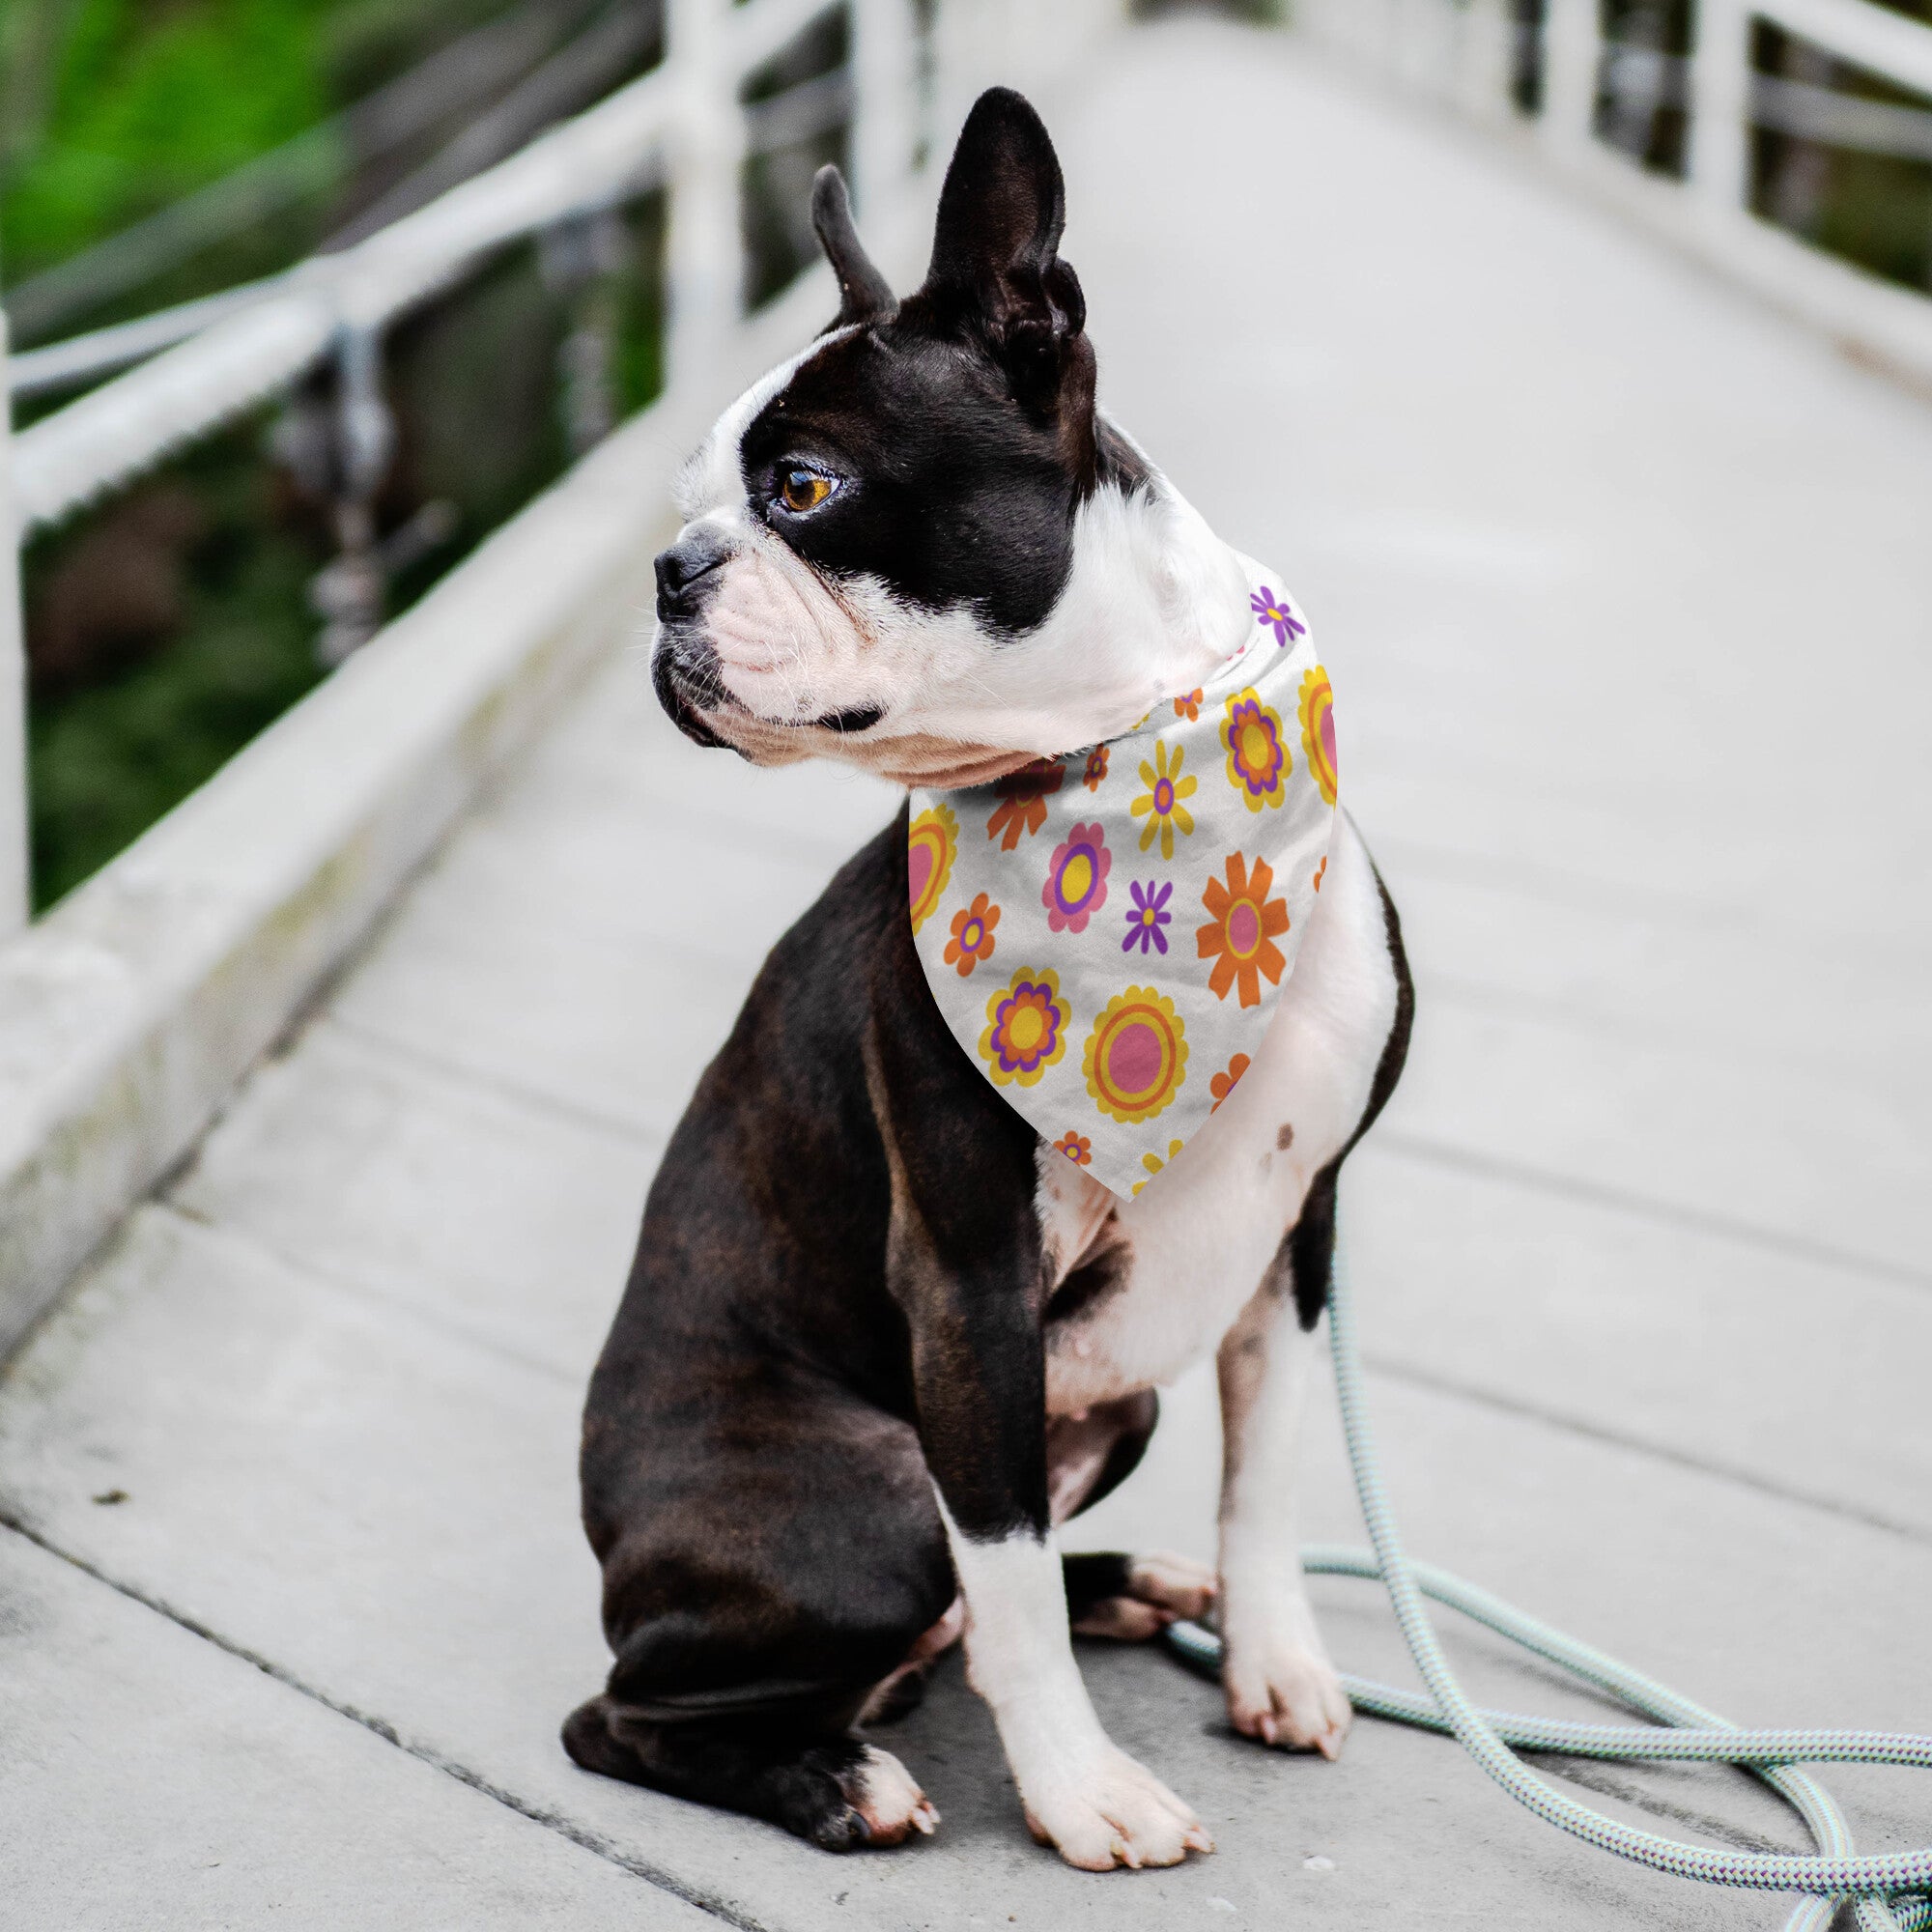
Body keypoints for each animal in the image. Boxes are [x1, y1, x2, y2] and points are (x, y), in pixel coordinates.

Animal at [564, 87, 1414, 1870]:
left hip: (1114, 1408)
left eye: (801, 487)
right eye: (698, 499)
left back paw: (1135, 1587)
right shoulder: (968, 1282)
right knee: (641, 1709)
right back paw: (837, 1777)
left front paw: (1274, 1658)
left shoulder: (1297, 1241)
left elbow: (1267, 1479)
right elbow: (1005, 1572)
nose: (670, 570)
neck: (1118, 768)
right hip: (875, 1496)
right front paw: (1083, 1792)